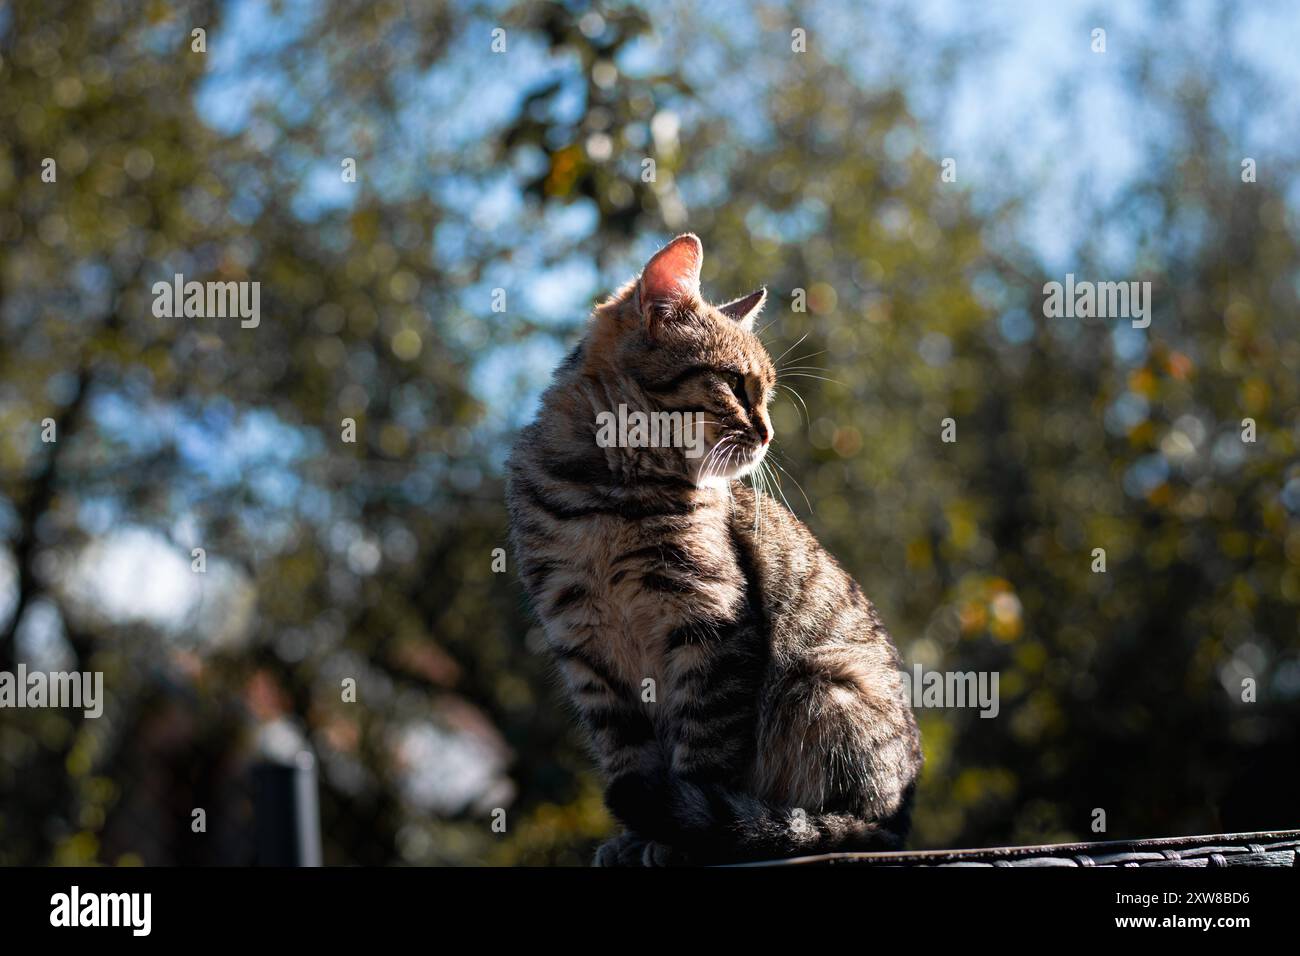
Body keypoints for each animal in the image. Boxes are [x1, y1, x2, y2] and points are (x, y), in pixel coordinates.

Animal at [501, 234, 920, 868]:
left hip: (821, 685)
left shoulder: (712, 624)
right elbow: (629, 755)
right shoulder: (586, 650)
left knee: (845, 820)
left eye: (766, 392)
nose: (769, 433)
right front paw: (634, 839)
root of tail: (902, 817)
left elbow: (701, 753)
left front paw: (675, 839)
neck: (612, 496)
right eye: (738, 384)